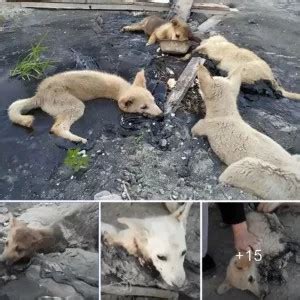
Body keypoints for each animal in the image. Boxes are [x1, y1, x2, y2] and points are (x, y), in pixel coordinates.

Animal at [8, 69, 162, 143]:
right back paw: (77, 139)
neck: (121, 89)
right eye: (143, 107)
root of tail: (39, 95)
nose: (161, 116)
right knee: (57, 128)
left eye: (153, 100)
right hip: (73, 105)